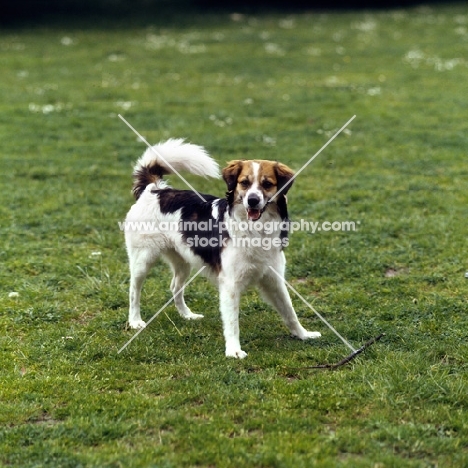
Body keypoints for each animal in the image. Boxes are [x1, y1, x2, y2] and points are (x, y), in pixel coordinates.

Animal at [123, 139, 322, 358]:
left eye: (267, 184)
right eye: (244, 183)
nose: (252, 200)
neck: (255, 230)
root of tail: (154, 189)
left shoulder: (274, 279)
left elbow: (290, 311)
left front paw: (303, 334)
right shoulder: (230, 284)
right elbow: (232, 321)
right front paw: (234, 350)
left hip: (183, 260)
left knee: (175, 286)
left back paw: (187, 315)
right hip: (143, 259)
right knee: (134, 290)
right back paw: (135, 321)